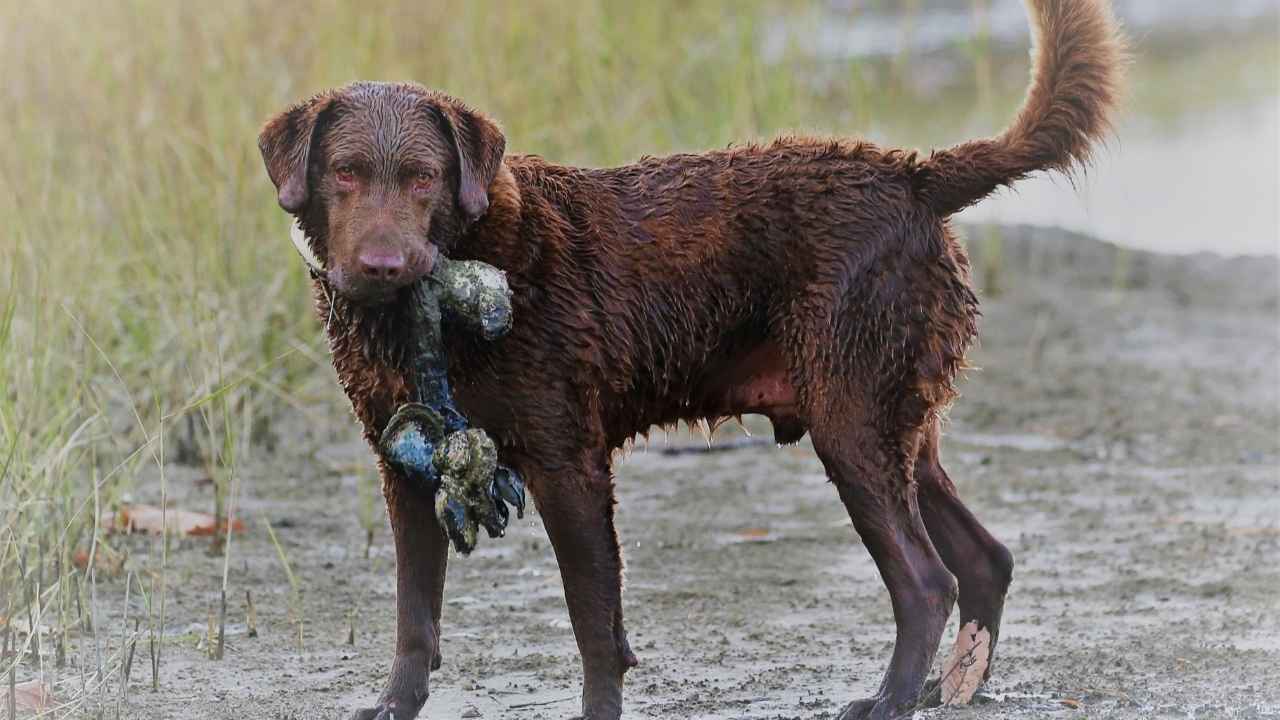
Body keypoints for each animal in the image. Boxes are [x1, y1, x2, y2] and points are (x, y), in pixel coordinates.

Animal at [257, 2, 1121, 712]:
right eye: (344, 174)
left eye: (425, 178)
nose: (382, 266)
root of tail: (914, 175)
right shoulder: (403, 470)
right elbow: (414, 619)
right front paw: (392, 705)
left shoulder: (570, 465)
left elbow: (593, 629)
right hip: (896, 428)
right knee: (985, 559)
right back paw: (953, 686)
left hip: (852, 427)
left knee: (927, 581)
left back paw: (890, 701)